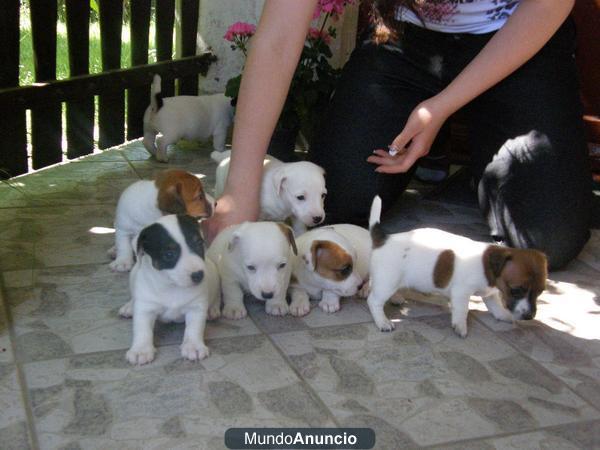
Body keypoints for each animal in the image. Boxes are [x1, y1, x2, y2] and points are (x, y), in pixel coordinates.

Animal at [119, 214, 220, 366]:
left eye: (198, 244)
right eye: (169, 254)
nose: (199, 275)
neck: (172, 285)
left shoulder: (196, 307)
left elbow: (194, 328)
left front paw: (193, 346)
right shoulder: (145, 308)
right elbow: (142, 329)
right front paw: (141, 350)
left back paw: (213, 309)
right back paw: (129, 307)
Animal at [366, 197, 548, 338]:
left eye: (540, 292)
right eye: (516, 290)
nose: (529, 316)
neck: (488, 267)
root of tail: (384, 238)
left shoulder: (490, 294)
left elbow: (496, 307)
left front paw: (504, 316)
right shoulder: (462, 292)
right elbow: (462, 310)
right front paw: (460, 326)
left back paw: (396, 298)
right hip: (388, 280)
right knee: (374, 301)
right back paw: (382, 322)